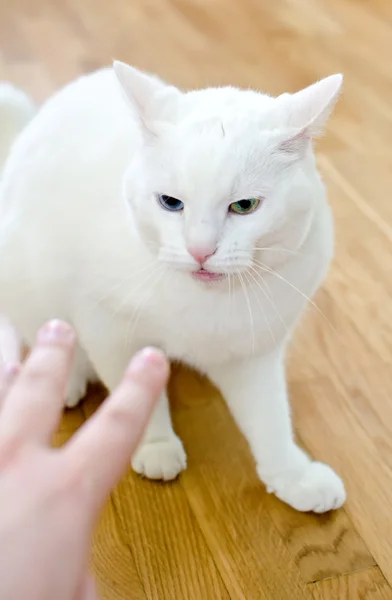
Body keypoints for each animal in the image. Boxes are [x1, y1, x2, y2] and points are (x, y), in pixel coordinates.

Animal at [0, 63, 346, 510]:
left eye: (245, 206)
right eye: (170, 203)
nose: (200, 250)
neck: (205, 304)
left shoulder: (253, 353)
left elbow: (270, 419)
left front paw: (293, 476)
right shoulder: (108, 329)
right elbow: (133, 394)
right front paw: (156, 445)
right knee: (48, 333)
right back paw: (66, 378)